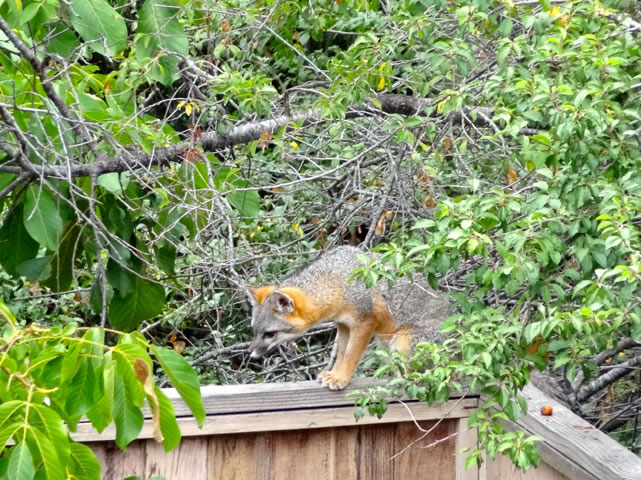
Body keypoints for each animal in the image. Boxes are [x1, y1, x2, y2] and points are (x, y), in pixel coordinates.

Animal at [247, 246, 449, 390]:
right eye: (254, 331)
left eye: (269, 334)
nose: (250, 353)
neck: (337, 279)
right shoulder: (343, 324)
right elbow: (341, 352)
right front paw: (334, 374)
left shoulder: (364, 322)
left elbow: (351, 353)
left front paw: (341, 379)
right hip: (384, 343)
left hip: (402, 340)